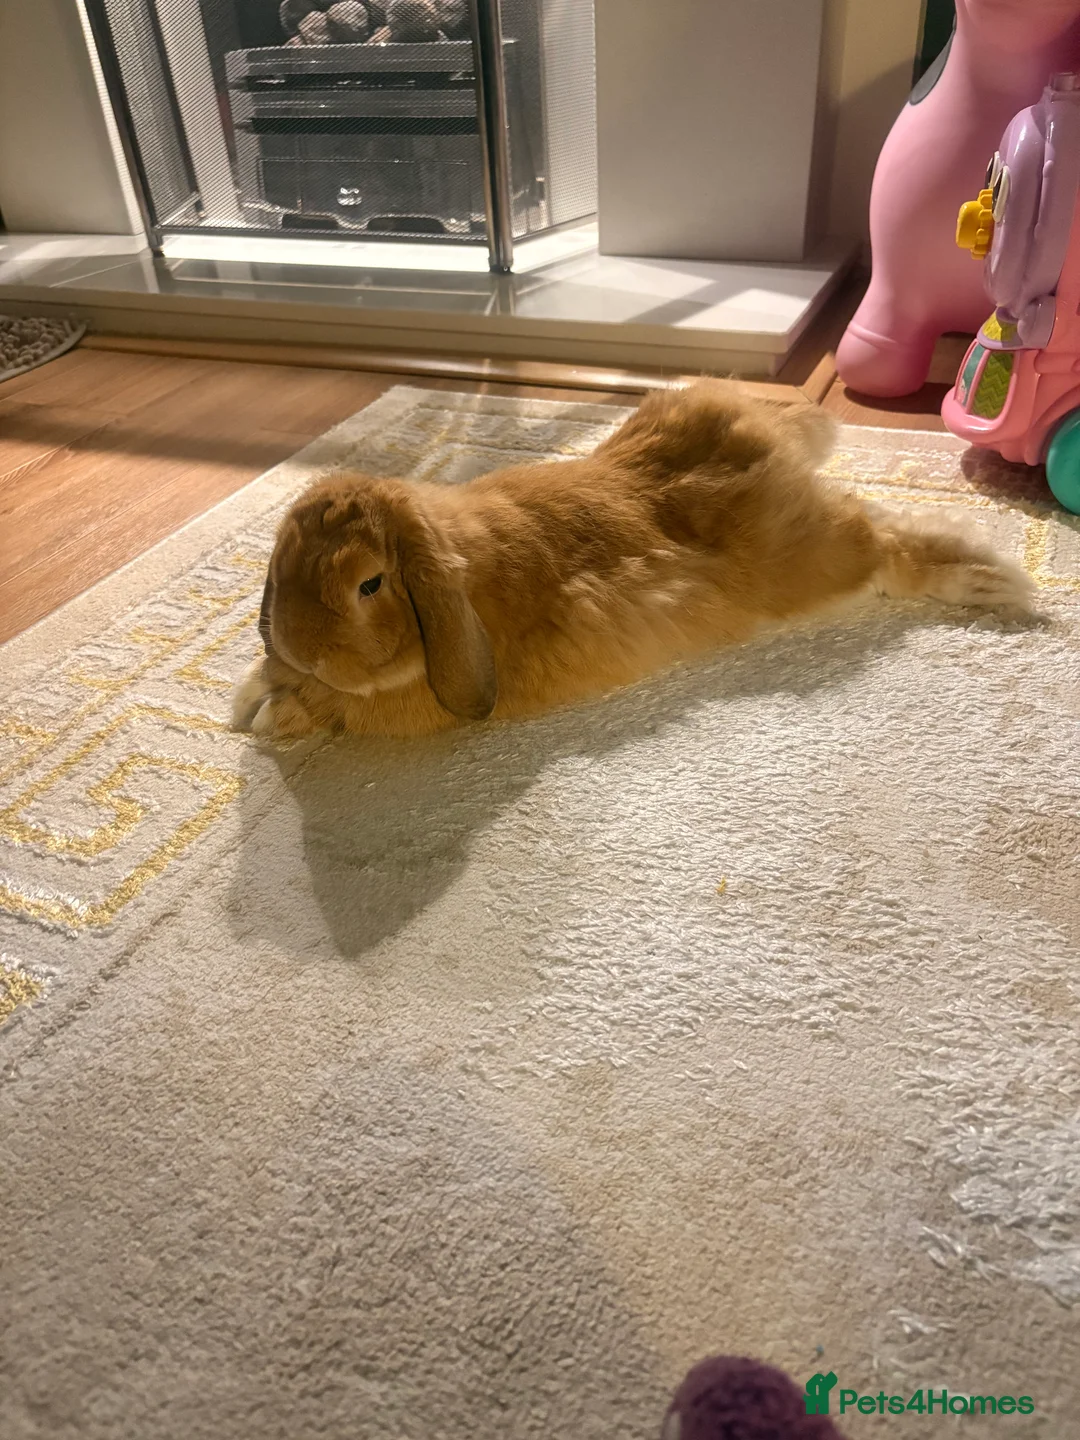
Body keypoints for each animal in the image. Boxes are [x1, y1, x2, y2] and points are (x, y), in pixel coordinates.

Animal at [232, 380, 1034, 740]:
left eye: (369, 584)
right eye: (281, 560)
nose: (301, 646)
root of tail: (756, 432)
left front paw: (265, 716)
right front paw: (251, 697)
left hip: (809, 563)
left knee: (887, 545)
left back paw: (999, 580)